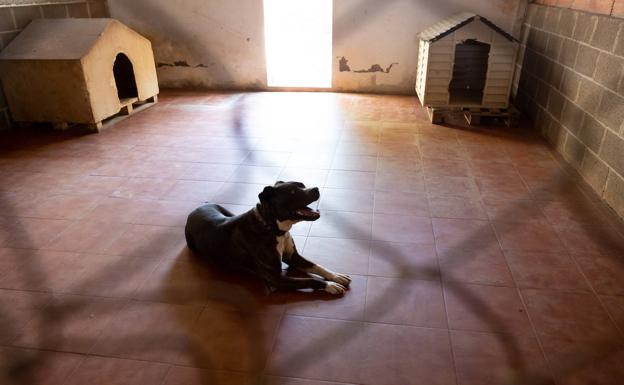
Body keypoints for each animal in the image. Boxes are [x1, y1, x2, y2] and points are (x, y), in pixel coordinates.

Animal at [184, 180, 352, 294]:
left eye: (302, 185)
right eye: (292, 192)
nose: (316, 188)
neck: (273, 228)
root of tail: (198, 208)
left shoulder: (293, 257)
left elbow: (317, 266)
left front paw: (335, 276)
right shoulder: (276, 279)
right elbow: (311, 279)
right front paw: (329, 286)